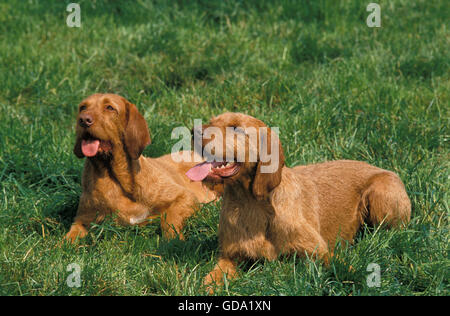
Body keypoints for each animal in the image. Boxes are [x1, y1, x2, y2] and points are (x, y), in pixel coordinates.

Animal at [66, 94, 221, 242]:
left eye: (110, 107)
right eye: (83, 107)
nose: (83, 120)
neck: (113, 176)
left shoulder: (184, 196)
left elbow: (169, 218)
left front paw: (173, 240)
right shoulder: (82, 220)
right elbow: (69, 238)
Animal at [186, 112, 412, 290]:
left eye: (236, 128)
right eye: (211, 121)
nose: (193, 131)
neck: (252, 204)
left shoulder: (318, 251)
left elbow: (342, 266)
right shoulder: (229, 256)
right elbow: (213, 276)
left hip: (381, 192)